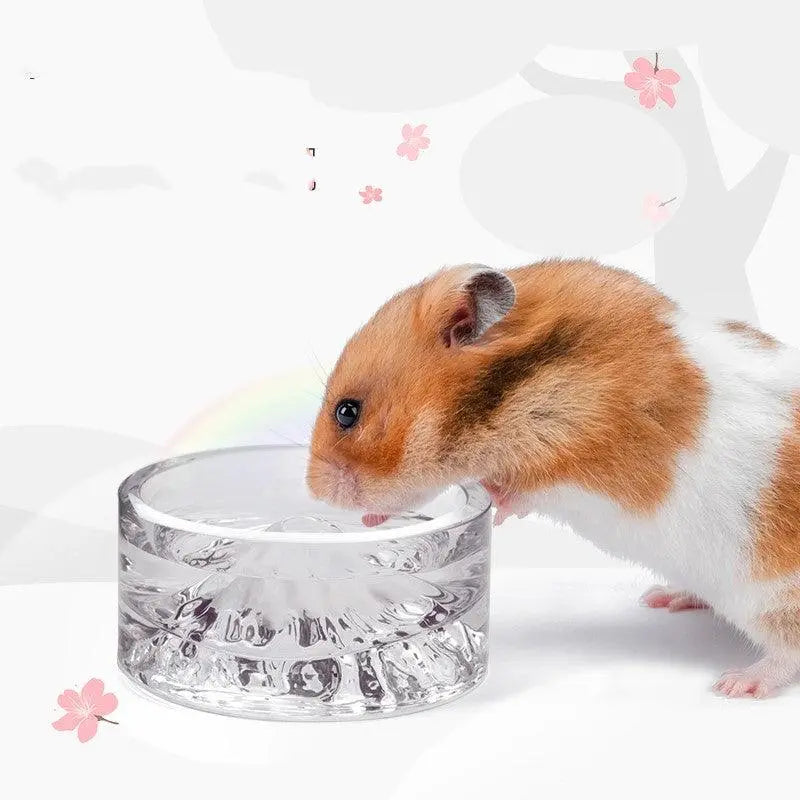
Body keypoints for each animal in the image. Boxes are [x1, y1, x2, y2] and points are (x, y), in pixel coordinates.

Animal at [306, 259, 800, 698]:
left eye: (347, 412)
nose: (313, 491)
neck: (520, 385)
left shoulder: (582, 461)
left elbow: (525, 492)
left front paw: (494, 506)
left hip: (774, 595)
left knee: (786, 652)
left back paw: (735, 684)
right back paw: (664, 597)